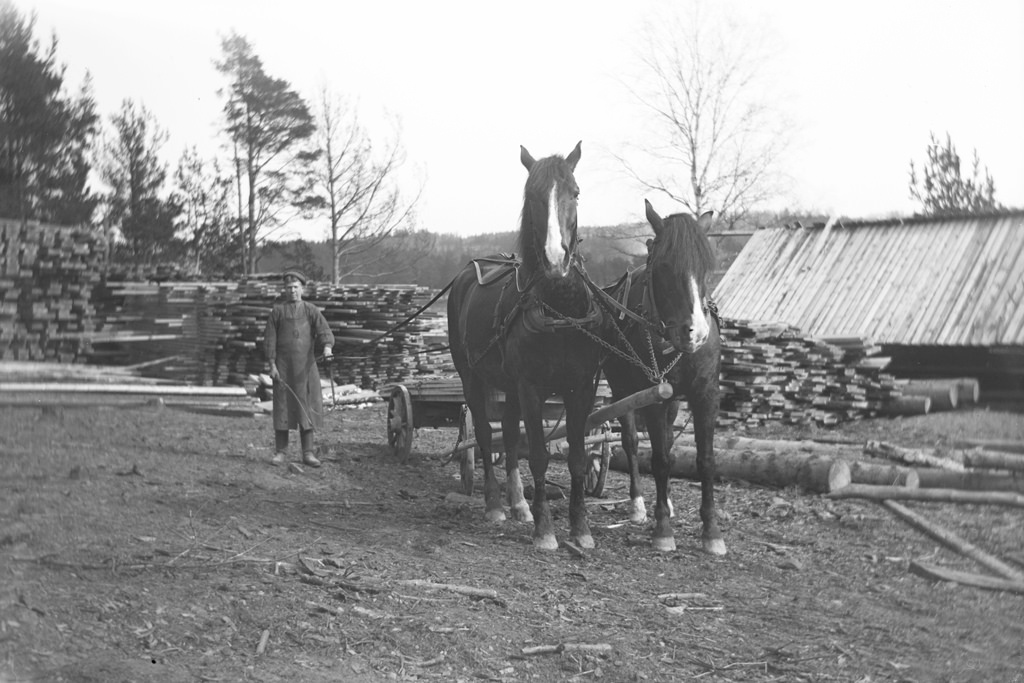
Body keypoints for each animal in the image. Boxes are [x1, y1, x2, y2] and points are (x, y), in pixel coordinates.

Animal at [444, 143, 602, 548]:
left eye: (575, 192)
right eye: (532, 196)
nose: (556, 259)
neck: (560, 311)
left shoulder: (582, 389)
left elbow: (577, 457)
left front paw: (581, 529)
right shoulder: (531, 387)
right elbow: (539, 456)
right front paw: (545, 531)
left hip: (509, 385)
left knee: (510, 436)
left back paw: (518, 504)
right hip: (472, 377)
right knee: (488, 436)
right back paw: (495, 504)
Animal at [598, 197, 729, 557]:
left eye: (707, 266)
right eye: (665, 267)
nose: (695, 332)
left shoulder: (705, 396)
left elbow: (705, 460)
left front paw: (711, 531)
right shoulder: (652, 397)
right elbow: (657, 459)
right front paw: (662, 529)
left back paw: (666, 501)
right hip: (622, 391)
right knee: (631, 442)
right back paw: (639, 505)